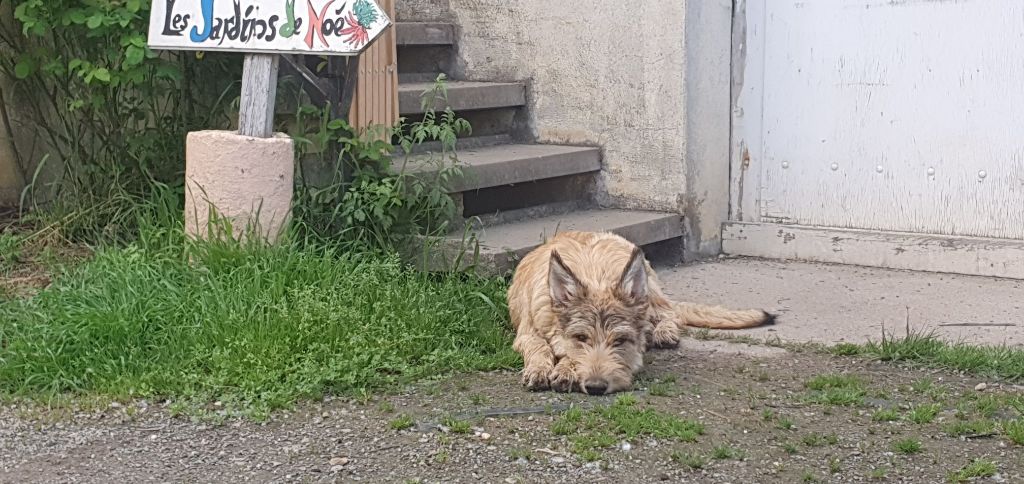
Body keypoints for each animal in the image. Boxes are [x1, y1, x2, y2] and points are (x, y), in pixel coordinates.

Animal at [507, 230, 770, 392]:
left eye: (620, 341)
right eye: (581, 337)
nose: (596, 387)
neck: (594, 274)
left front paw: (565, 369)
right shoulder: (527, 334)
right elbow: (539, 347)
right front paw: (540, 369)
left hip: (651, 292)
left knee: (669, 313)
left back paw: (664, 332)